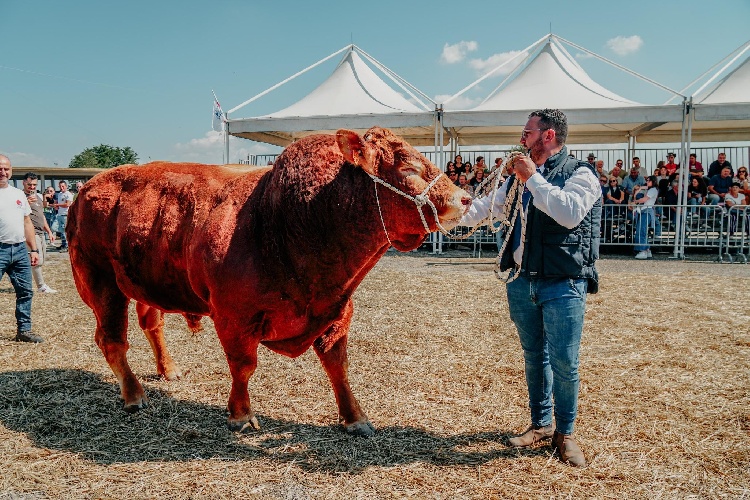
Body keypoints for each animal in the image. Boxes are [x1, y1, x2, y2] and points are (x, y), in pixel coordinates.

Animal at [69, 127, 470, 436]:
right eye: (408, 165)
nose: (465, 197)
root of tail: (88, 187)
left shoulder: (338, 311)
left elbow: (337, 365)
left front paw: (355, 418)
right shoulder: (234, 316)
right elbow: (243, 365)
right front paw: (241, 415)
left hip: (146, 283)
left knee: (151, 323)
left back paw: (168, 370)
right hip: (100, 282)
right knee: (112, 341)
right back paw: (134, 395)